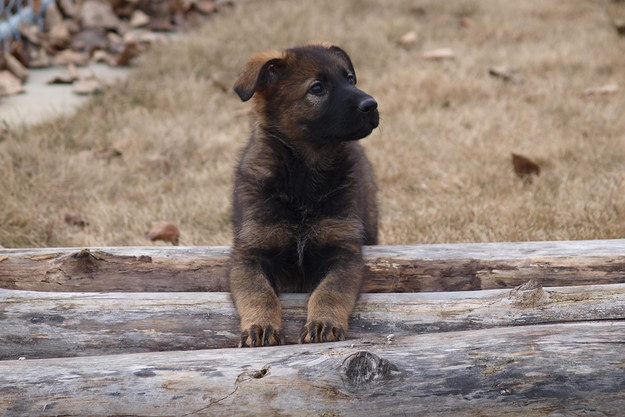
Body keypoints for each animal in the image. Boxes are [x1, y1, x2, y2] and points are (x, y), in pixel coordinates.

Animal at [228, 44, 376, 346]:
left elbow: (330, 290)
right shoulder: (249, 252)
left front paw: (324, 321)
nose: (373, 105)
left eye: (350, 79)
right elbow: (258, 292)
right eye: (317, 88)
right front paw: (260, 325)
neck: (305, 174)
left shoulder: (344, 250)